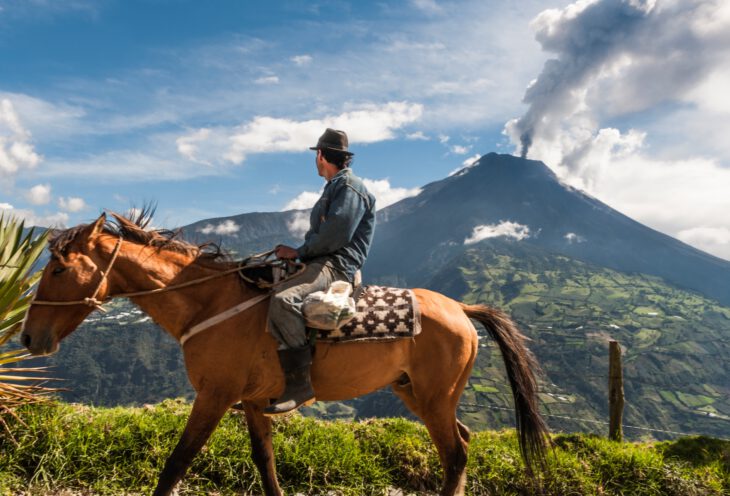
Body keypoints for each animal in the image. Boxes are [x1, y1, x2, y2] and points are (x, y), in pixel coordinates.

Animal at [19, 212, 544, 496]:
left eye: (60, 270)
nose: (26, 339)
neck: (211, 303)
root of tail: (461, 308)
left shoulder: (214, 395)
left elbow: (178, 461)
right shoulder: (253, 402)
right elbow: (264, 461)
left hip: (433, 397)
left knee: (455, 453)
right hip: (416, 392)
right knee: (462, 443)